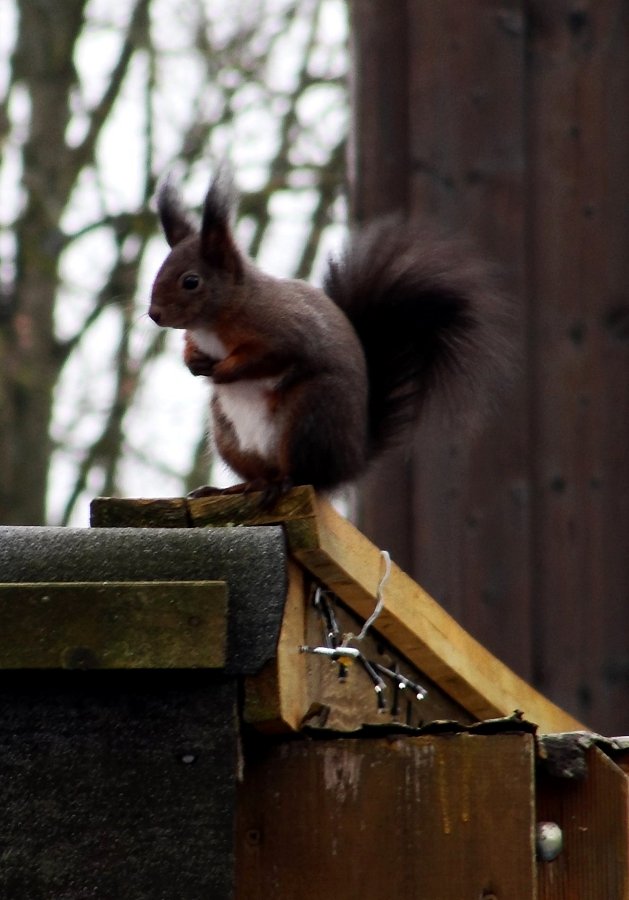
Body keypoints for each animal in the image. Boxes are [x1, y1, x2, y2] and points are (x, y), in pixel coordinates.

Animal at [147, 172, 506, 502]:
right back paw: (235, 488)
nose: (154, 314)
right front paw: (193, 361)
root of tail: (351, 462)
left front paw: (223, 371)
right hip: (227, 432)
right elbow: (191, 347)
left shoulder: (284, 331)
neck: (215, 322)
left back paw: (281, 484)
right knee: (260, 475)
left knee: (306, 477)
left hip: (310, 415)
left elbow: (269, 356)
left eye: (191, 281)